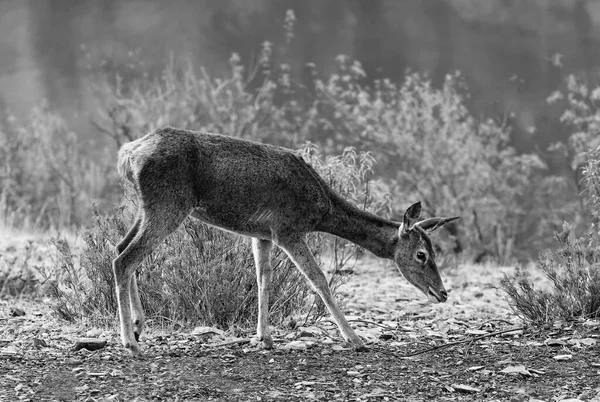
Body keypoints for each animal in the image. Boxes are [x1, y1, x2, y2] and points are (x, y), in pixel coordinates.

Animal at [112, 127, 460, 356]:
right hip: (170, 203)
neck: (321, 209)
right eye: (421, 254)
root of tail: (127, 154)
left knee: (119, 247)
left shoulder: (261, 233)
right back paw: (129, 342)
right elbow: (319, 279)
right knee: (124, 258)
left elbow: (263, 279)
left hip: (148, 205)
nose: (443, 293)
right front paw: (355, 338)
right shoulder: (288, 229)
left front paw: (264, 338)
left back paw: (138, 328)